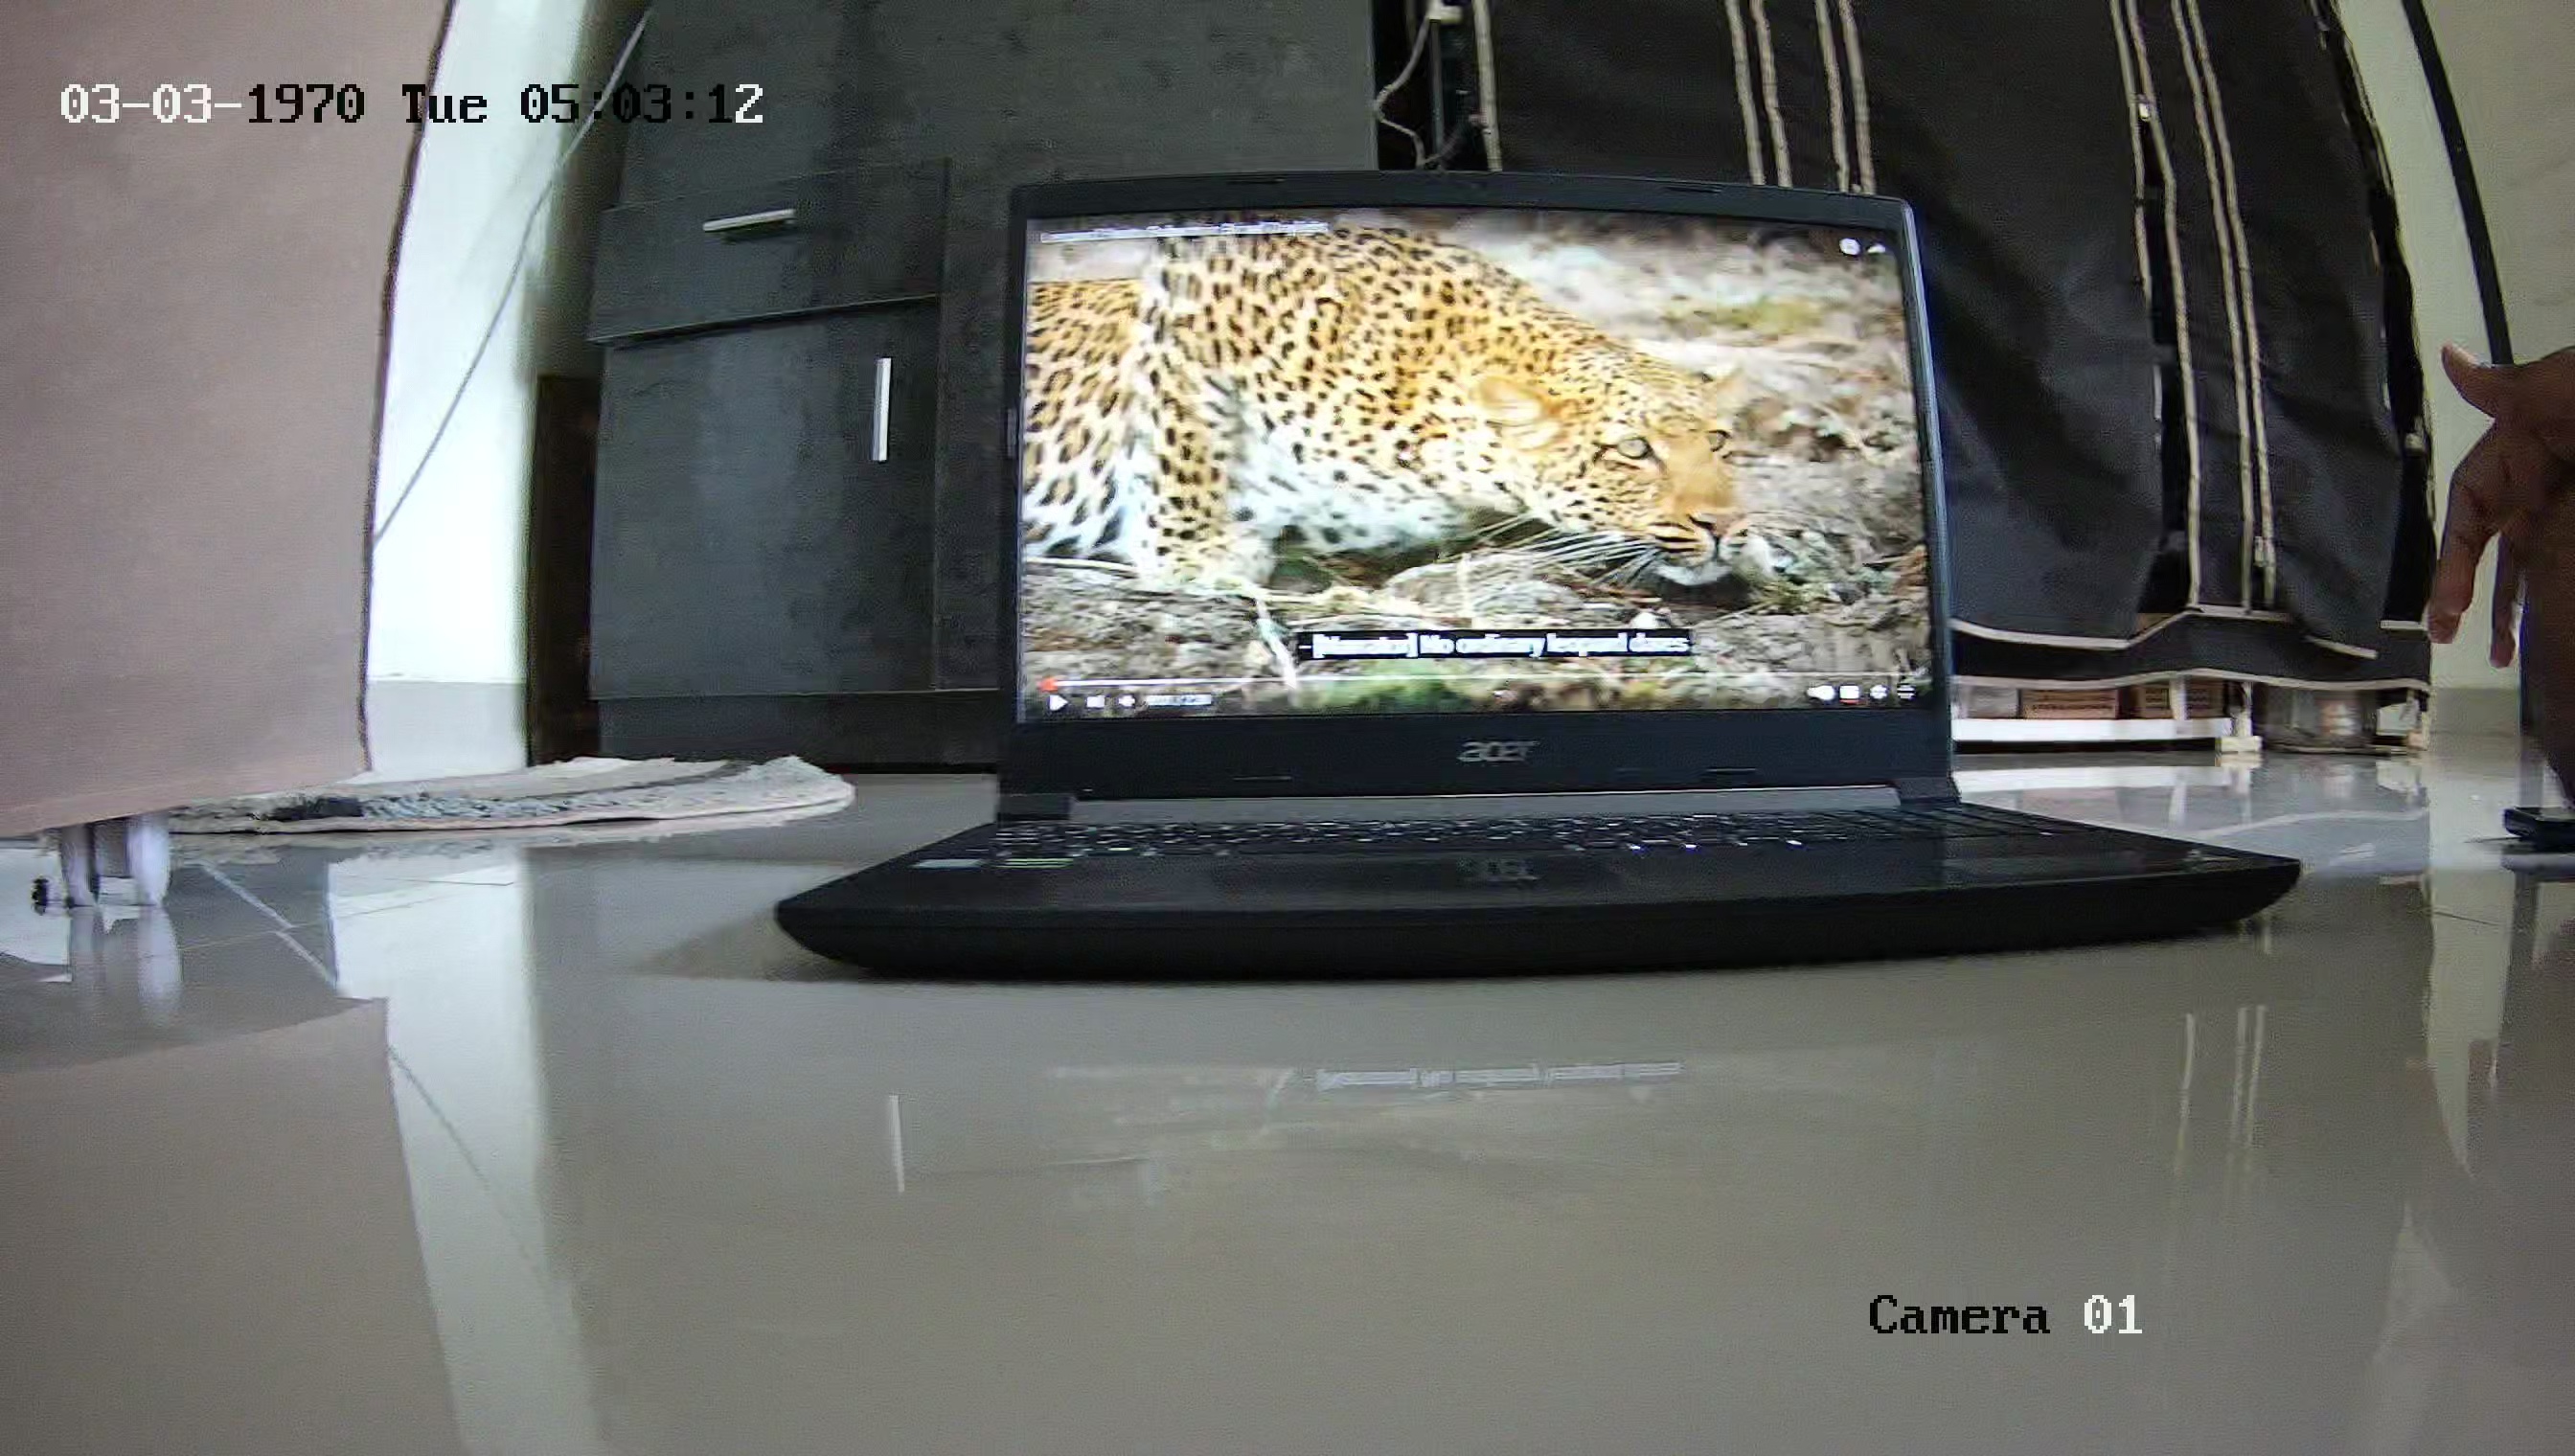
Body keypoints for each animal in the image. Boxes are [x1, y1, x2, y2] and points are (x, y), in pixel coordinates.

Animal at [1019, 224, 1749, 593]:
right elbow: (1182, 438)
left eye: (1718, 442)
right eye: (1633, 450)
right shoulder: (1198, 291)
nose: (1722, 525)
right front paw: (1194, 556)